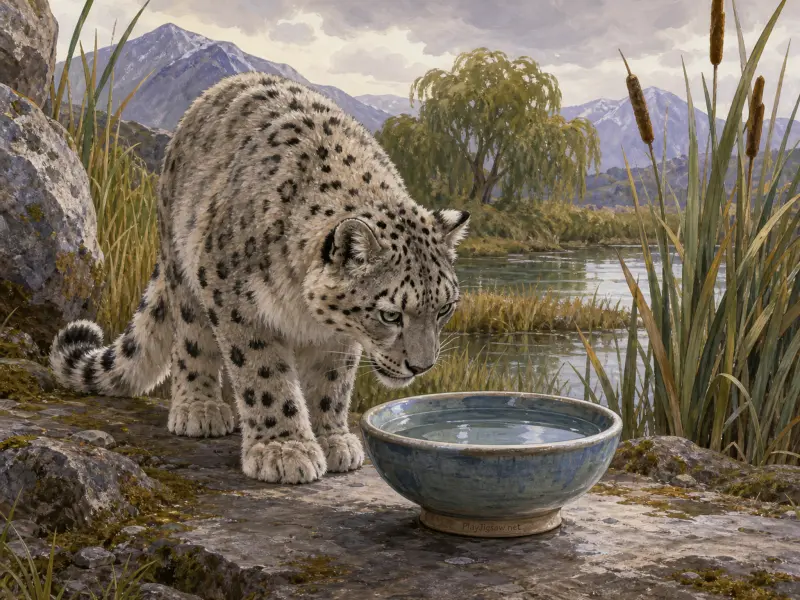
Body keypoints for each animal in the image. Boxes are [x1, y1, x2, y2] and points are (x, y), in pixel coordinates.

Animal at [49, 72, 470, 484]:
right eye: (390, 315)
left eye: (444, 309)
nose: (422, 367)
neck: (305, 312)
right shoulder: (234, 298)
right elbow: (262, 372)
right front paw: (283, 449)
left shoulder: (337, 337)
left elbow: (333, 380)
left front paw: (332, 439)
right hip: (183, 269)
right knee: (191, 337)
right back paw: (200, 408)